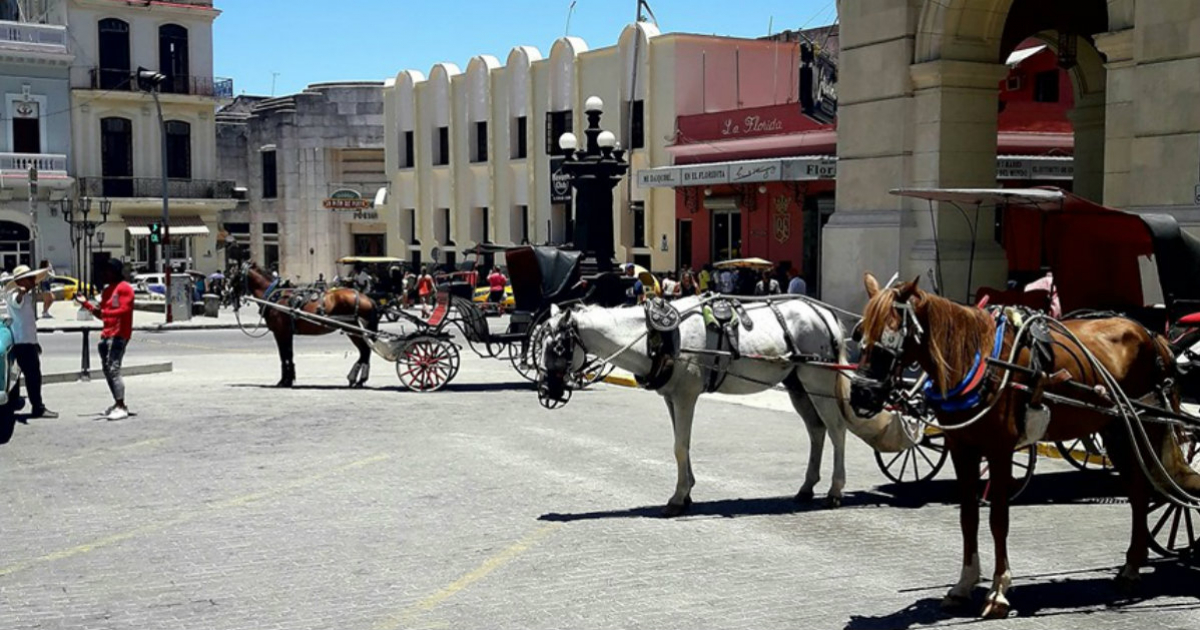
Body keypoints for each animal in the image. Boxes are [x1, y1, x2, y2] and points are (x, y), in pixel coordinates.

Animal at [235, 261, 379, 388]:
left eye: (233, 275)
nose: (230, 296)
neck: (275, 296)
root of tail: (367, 298)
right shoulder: (287, 333)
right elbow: (289, 355)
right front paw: (289, 379)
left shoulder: (280, 333)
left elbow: (284, 355)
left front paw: (284, 381)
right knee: (365, 352)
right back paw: (358, 379)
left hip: (355, 331)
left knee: (365, 351)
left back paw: (357, 379)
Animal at [540, 295, 912, 516]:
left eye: (556, 347)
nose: (547, 391)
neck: (657, 336)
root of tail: (824, 314)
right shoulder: (672, 397)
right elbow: (682, 446)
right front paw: (687, 490)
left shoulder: (686, 395)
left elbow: (680, 446)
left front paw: (678, 497)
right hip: (797, 385)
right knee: (816, 431)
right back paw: (807, 487)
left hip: (817, 381)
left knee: (836, 431)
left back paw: (835, 490)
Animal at [849, 274, 1195, 619]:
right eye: (860, 335)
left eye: (892, 336)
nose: (862, 394)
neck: (979, 360)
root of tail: (1152, 335)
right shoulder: (962, 449)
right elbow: (968, 517)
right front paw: (963, 585)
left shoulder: (1000, 450)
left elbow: (998, 519)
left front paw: (998, 591)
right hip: (1117, 430)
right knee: (1139, 492)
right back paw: (1131, 566)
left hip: (1145, 426)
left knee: (1148, 489)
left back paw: (1134, 566)